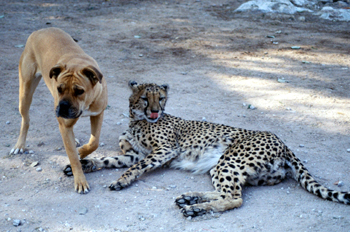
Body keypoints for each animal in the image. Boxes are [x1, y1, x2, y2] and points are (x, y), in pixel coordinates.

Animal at [10, 27, 107, 194]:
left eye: (79, 91)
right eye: (59, 89)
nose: (63, 106)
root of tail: (40, 30)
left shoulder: (98, 113)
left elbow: (94, 142)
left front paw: (81, 151)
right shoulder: (65, 123)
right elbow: (73, 158)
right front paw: (80, 180)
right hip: (25, 93)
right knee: (25, 120)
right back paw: (19, 145)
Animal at [63, 80, 350, 217]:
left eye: (161, 98)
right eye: (145, 98)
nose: (155, 111)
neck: (139, 120)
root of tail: (281, 140)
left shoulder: (165, 150)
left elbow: (136, 167)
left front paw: (121, 181)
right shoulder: (134, 153)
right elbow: (111, 159)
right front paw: (83, 164)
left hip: (229, 160)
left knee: (235, 198)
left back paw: (195, 208)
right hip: (231, 168)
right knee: (228, 193)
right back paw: (190, 199)